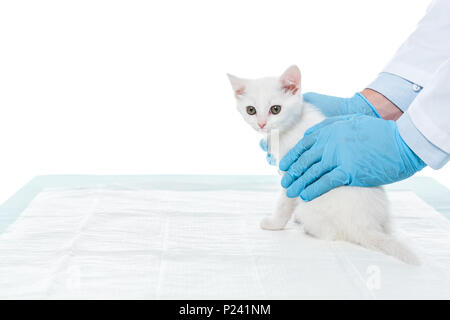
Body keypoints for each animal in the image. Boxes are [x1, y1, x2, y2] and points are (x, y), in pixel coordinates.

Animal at [227, 65, 420, 264]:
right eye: (251, 110)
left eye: (275, 109)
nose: (262, 124)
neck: (289, 127)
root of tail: (366, 225)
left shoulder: (293, 174)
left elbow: (283, 203)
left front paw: (274, 224)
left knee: (331, 234)